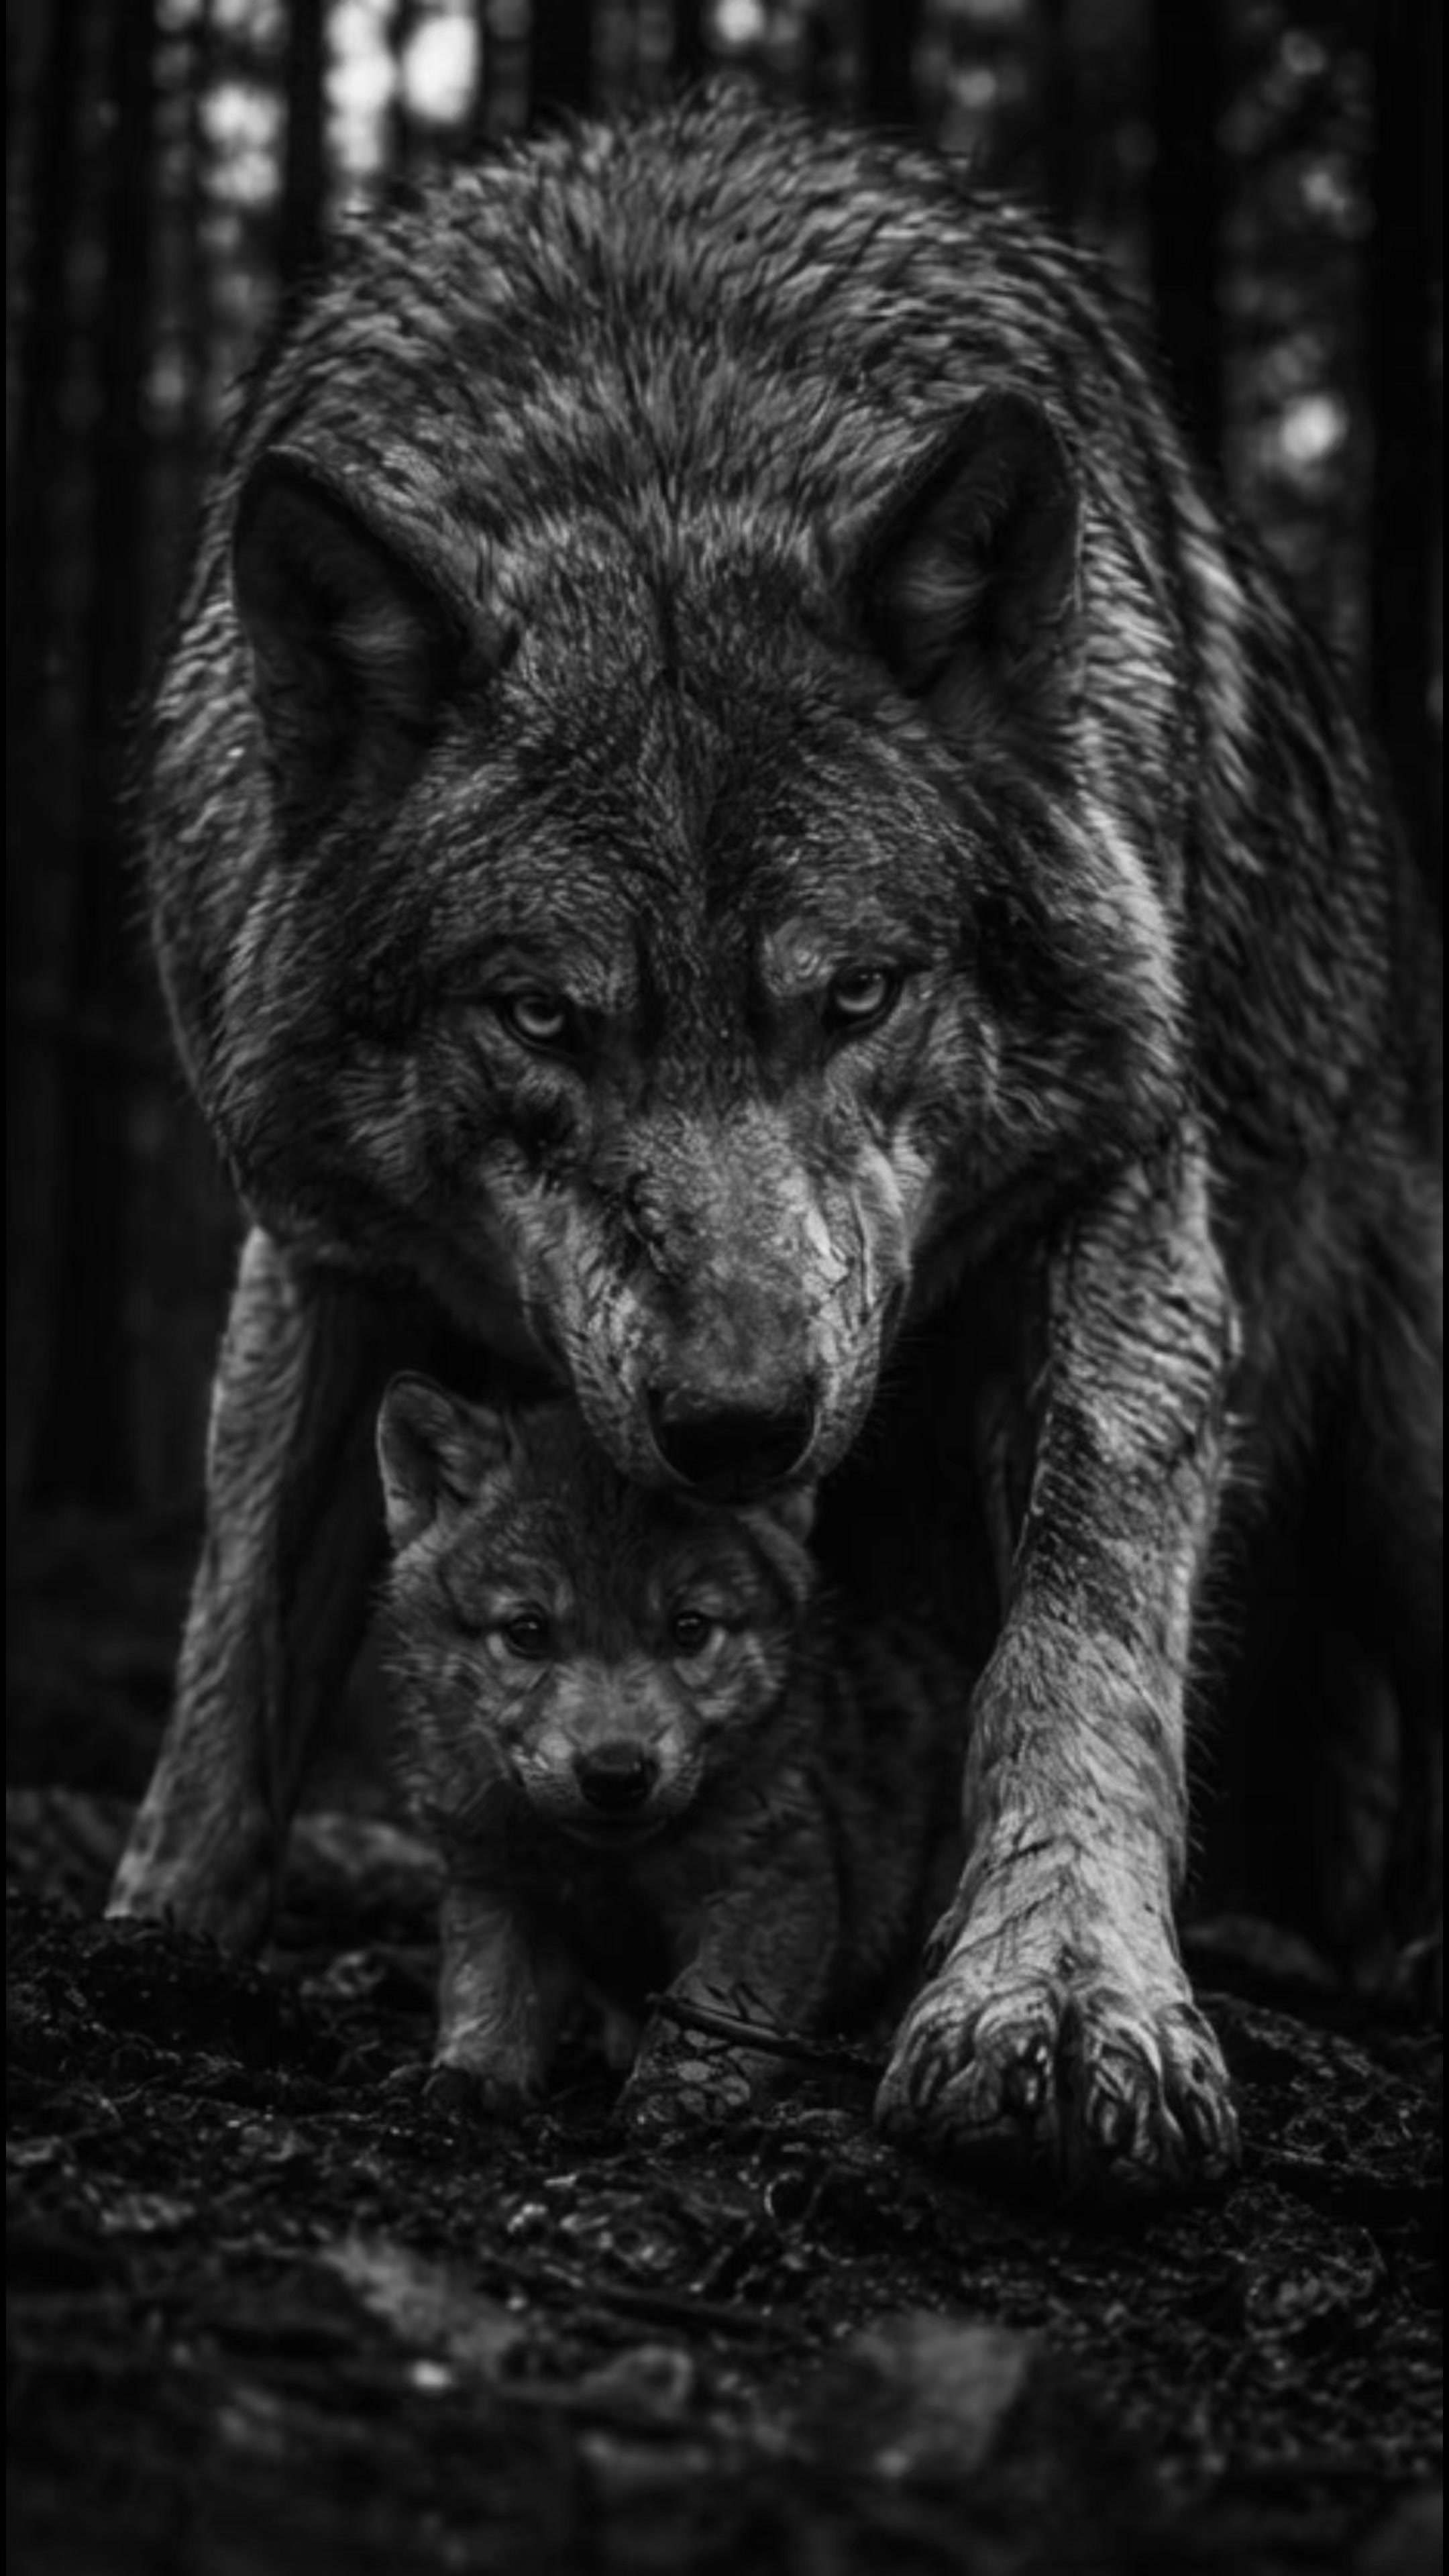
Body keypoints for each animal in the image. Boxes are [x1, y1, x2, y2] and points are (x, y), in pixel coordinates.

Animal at [376, 1377, 963, 2117]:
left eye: (689, 1629)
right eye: (527, 1631)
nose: (616, 1774)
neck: (610, 1865)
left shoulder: (771, 1877)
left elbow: (707, 2001)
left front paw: (681, 2087)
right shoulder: (493, 1880)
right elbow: (490, 1984)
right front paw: (471, 2074)